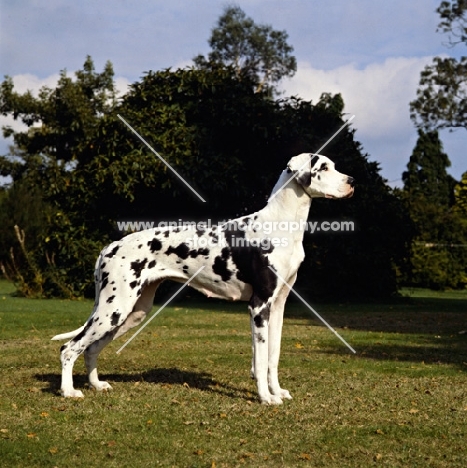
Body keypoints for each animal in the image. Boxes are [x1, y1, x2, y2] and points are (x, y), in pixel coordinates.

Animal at [52, 154, 354, 402]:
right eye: (324, 168)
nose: (352, 181)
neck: (280, 225)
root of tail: (110, 247)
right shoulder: (259, 306)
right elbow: (260, 359)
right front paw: (266, 398)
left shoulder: (277, 307)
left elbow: (272, 357)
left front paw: (277, 391)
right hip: (113, 309)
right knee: (70, 347)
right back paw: (69, 391)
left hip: (130, 313)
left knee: (90, 349)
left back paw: (96, 384)